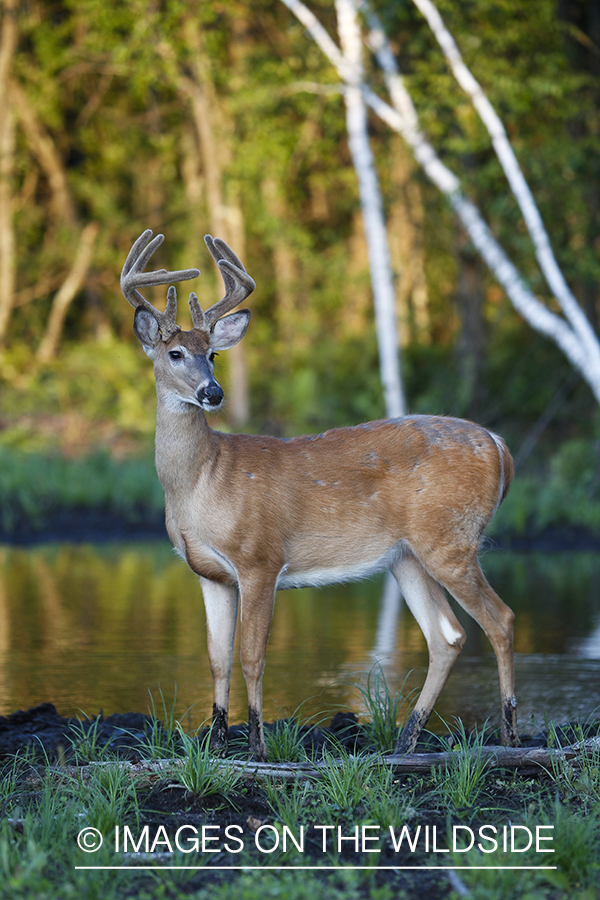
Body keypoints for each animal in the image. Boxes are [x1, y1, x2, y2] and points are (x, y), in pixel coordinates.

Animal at [120, 230, 516, 760]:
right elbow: (217, 659)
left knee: (500, 619)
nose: (213, 393)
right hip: (407, 555)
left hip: (451, 539)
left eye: (213, 354)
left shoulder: (260, 558)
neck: (203, 481)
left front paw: (258, 749)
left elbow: (252, 656)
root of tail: (498, 444)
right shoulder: (209, 574)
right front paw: (217, 746)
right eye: (175, 354)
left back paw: (510, 735)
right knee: (447, 635)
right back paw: (404, 743)